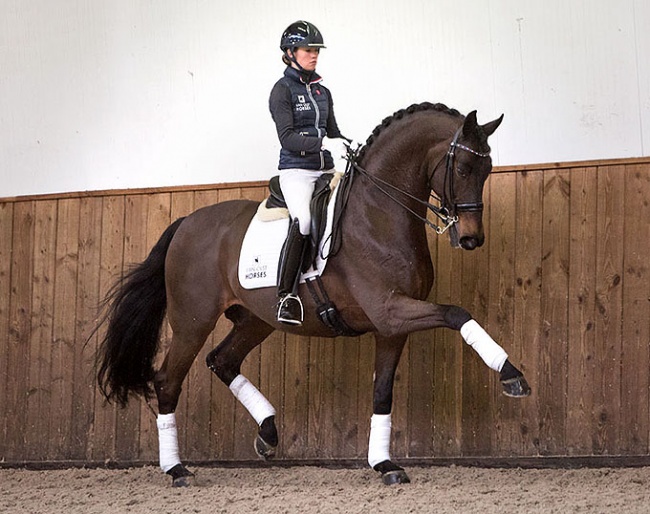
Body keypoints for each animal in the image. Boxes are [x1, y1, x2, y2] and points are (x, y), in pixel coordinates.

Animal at [97, 102, 532, 486]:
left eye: (487, 170)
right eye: (462, 167)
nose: (471, 238)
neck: (378, 213)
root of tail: (186, 222)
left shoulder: (391, 327)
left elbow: (382, 392)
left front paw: (384, 464)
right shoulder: (390, 310)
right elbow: (457, 314)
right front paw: (511, 375)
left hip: (256, 320)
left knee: (222, 361)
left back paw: (268, 434)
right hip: (192, 322)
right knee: (168, 381)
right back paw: (177, 470)